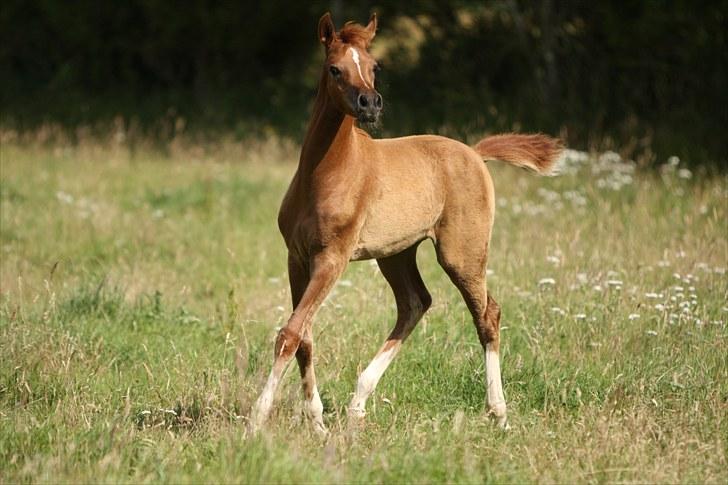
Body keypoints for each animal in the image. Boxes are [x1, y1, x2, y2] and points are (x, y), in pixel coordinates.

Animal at [250, 12, 564, 434]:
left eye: (374, 67)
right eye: (334, 68)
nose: (370, 103)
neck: (327, 173)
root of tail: (474, 154)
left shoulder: (332, 259)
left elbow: (291, 332)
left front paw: (256, 420)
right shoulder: (298, 258)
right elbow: (304, 336)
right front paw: (316, 421)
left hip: (461, 254)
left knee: (487, 314)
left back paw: (498, 412)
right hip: (396, 254)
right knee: (415, 303)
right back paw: (358, 403)